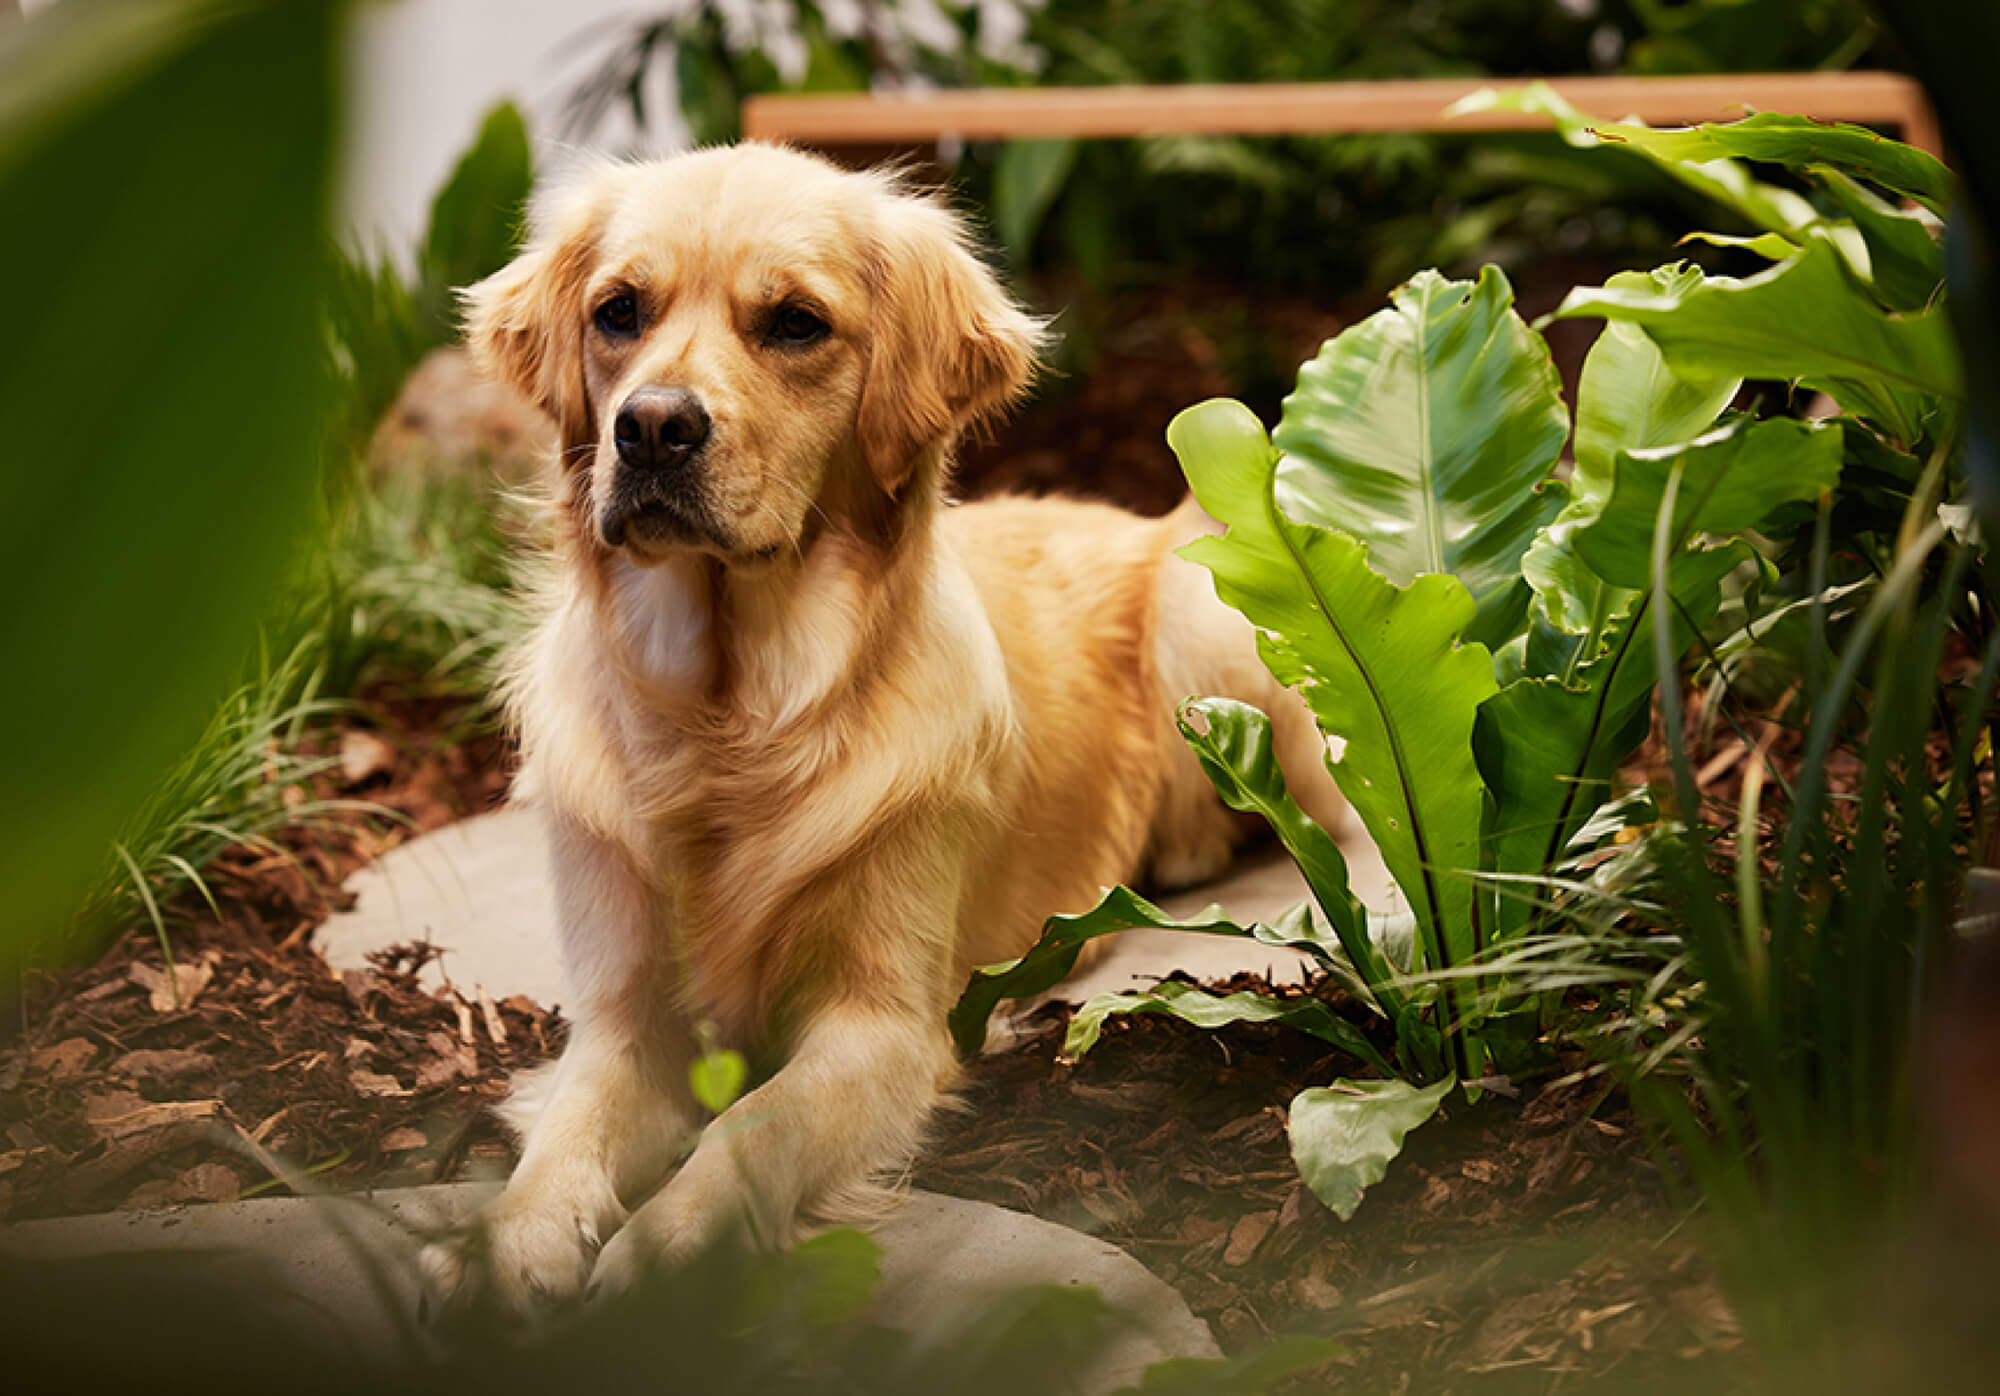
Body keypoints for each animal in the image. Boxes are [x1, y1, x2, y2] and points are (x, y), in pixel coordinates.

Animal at [430, 147, 1352, 1312]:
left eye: (795, 323)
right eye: (618, 311)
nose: (650, 428)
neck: (727, 716)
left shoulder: (884, 1024)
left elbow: (752, 1125)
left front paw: (662, 1253)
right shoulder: (621, 1013)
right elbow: (567, 1129)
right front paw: (506, 1241)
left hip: (1203, 605)